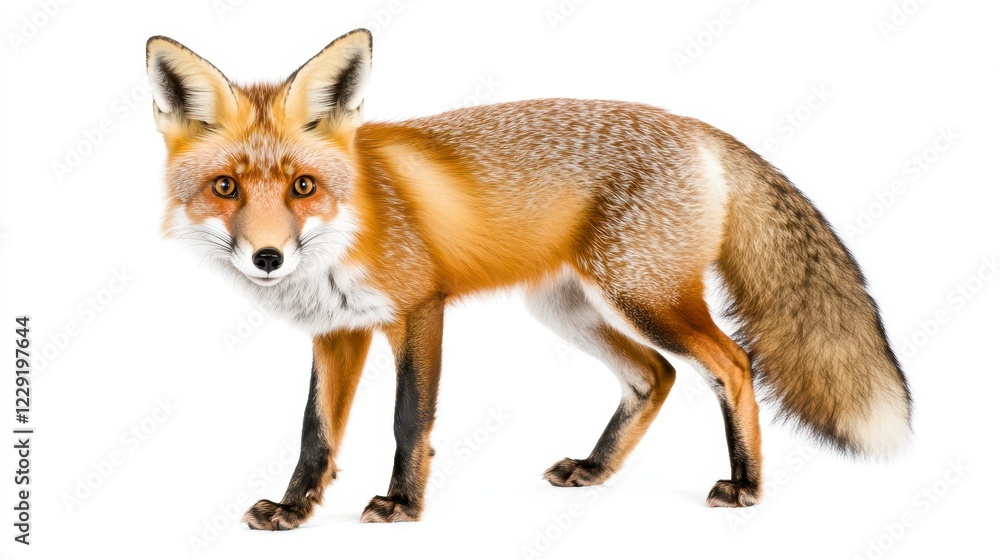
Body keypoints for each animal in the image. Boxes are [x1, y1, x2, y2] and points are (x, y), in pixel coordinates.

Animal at [146, 29, 911, 528]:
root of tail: (695, 126)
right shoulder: (339, 333)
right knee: (654, 375)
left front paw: (403, 505)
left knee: (732, 364)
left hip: (645, 295)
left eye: (303, 186)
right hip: (568, 310)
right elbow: (316, 433)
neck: (352, 223)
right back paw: (597, 470)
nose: (268, 258)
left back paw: (747, 486)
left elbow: (408, 418)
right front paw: (295, 508)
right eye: (225, 188)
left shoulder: (420, 308)